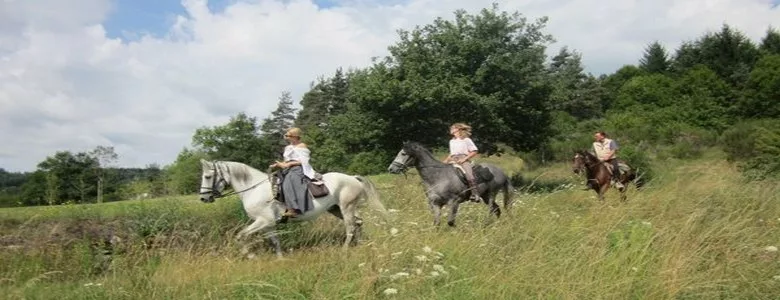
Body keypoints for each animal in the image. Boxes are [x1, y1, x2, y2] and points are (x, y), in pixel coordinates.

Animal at [197, 159, 388, 258]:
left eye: (208, 176)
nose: (203, 198)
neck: (254, 188)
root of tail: (352, 178)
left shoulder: (263, 221)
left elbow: (240, 235)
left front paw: (250, 255)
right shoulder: (268, 224)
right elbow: (275, 241)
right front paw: (280, 259)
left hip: (346, 208)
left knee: (350, 227)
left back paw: (345, 249)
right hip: (337, 209)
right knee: (359, 222)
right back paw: (360, 244)